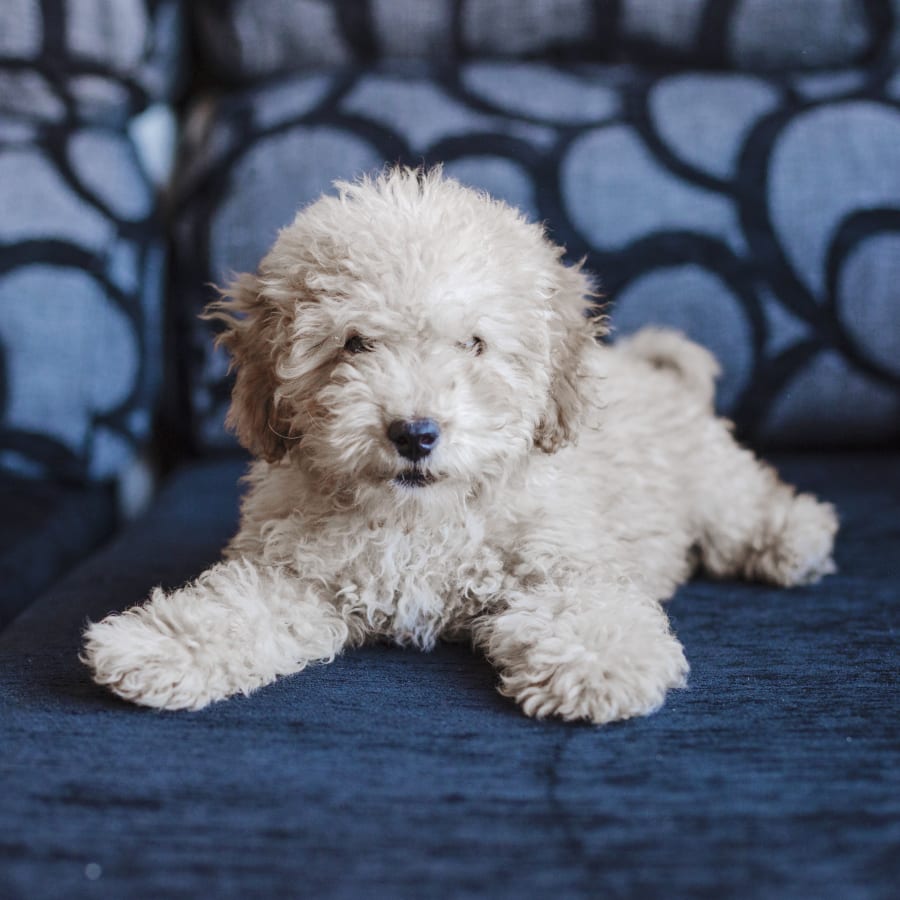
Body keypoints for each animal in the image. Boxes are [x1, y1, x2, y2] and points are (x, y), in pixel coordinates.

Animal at [82, 165, 836, 720]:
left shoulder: (563, 555)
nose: (415, 433)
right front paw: (159, 645)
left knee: (743, 502)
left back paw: (791, 535)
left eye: (473, 343)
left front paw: (598, 663)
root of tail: (648, 367)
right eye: (356, 342)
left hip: (706, 477)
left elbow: (584, 601)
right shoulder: (296, 574)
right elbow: (236, 606)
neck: (420, 520)